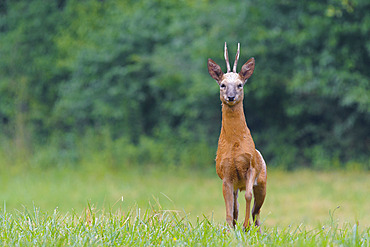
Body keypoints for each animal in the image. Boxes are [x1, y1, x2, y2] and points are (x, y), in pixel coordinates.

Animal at [207, 42, 268, 230]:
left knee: (256, 210)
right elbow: (229, 209)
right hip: (236, 185)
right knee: (236, 207)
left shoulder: (251, 167)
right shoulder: (225, 174)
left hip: (263, 181)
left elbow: (248, 196)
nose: (231, 96)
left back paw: (255, 229)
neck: (234, 144)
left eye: (240, 84)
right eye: (222, 84)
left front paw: (245, 226)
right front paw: (229, 230)